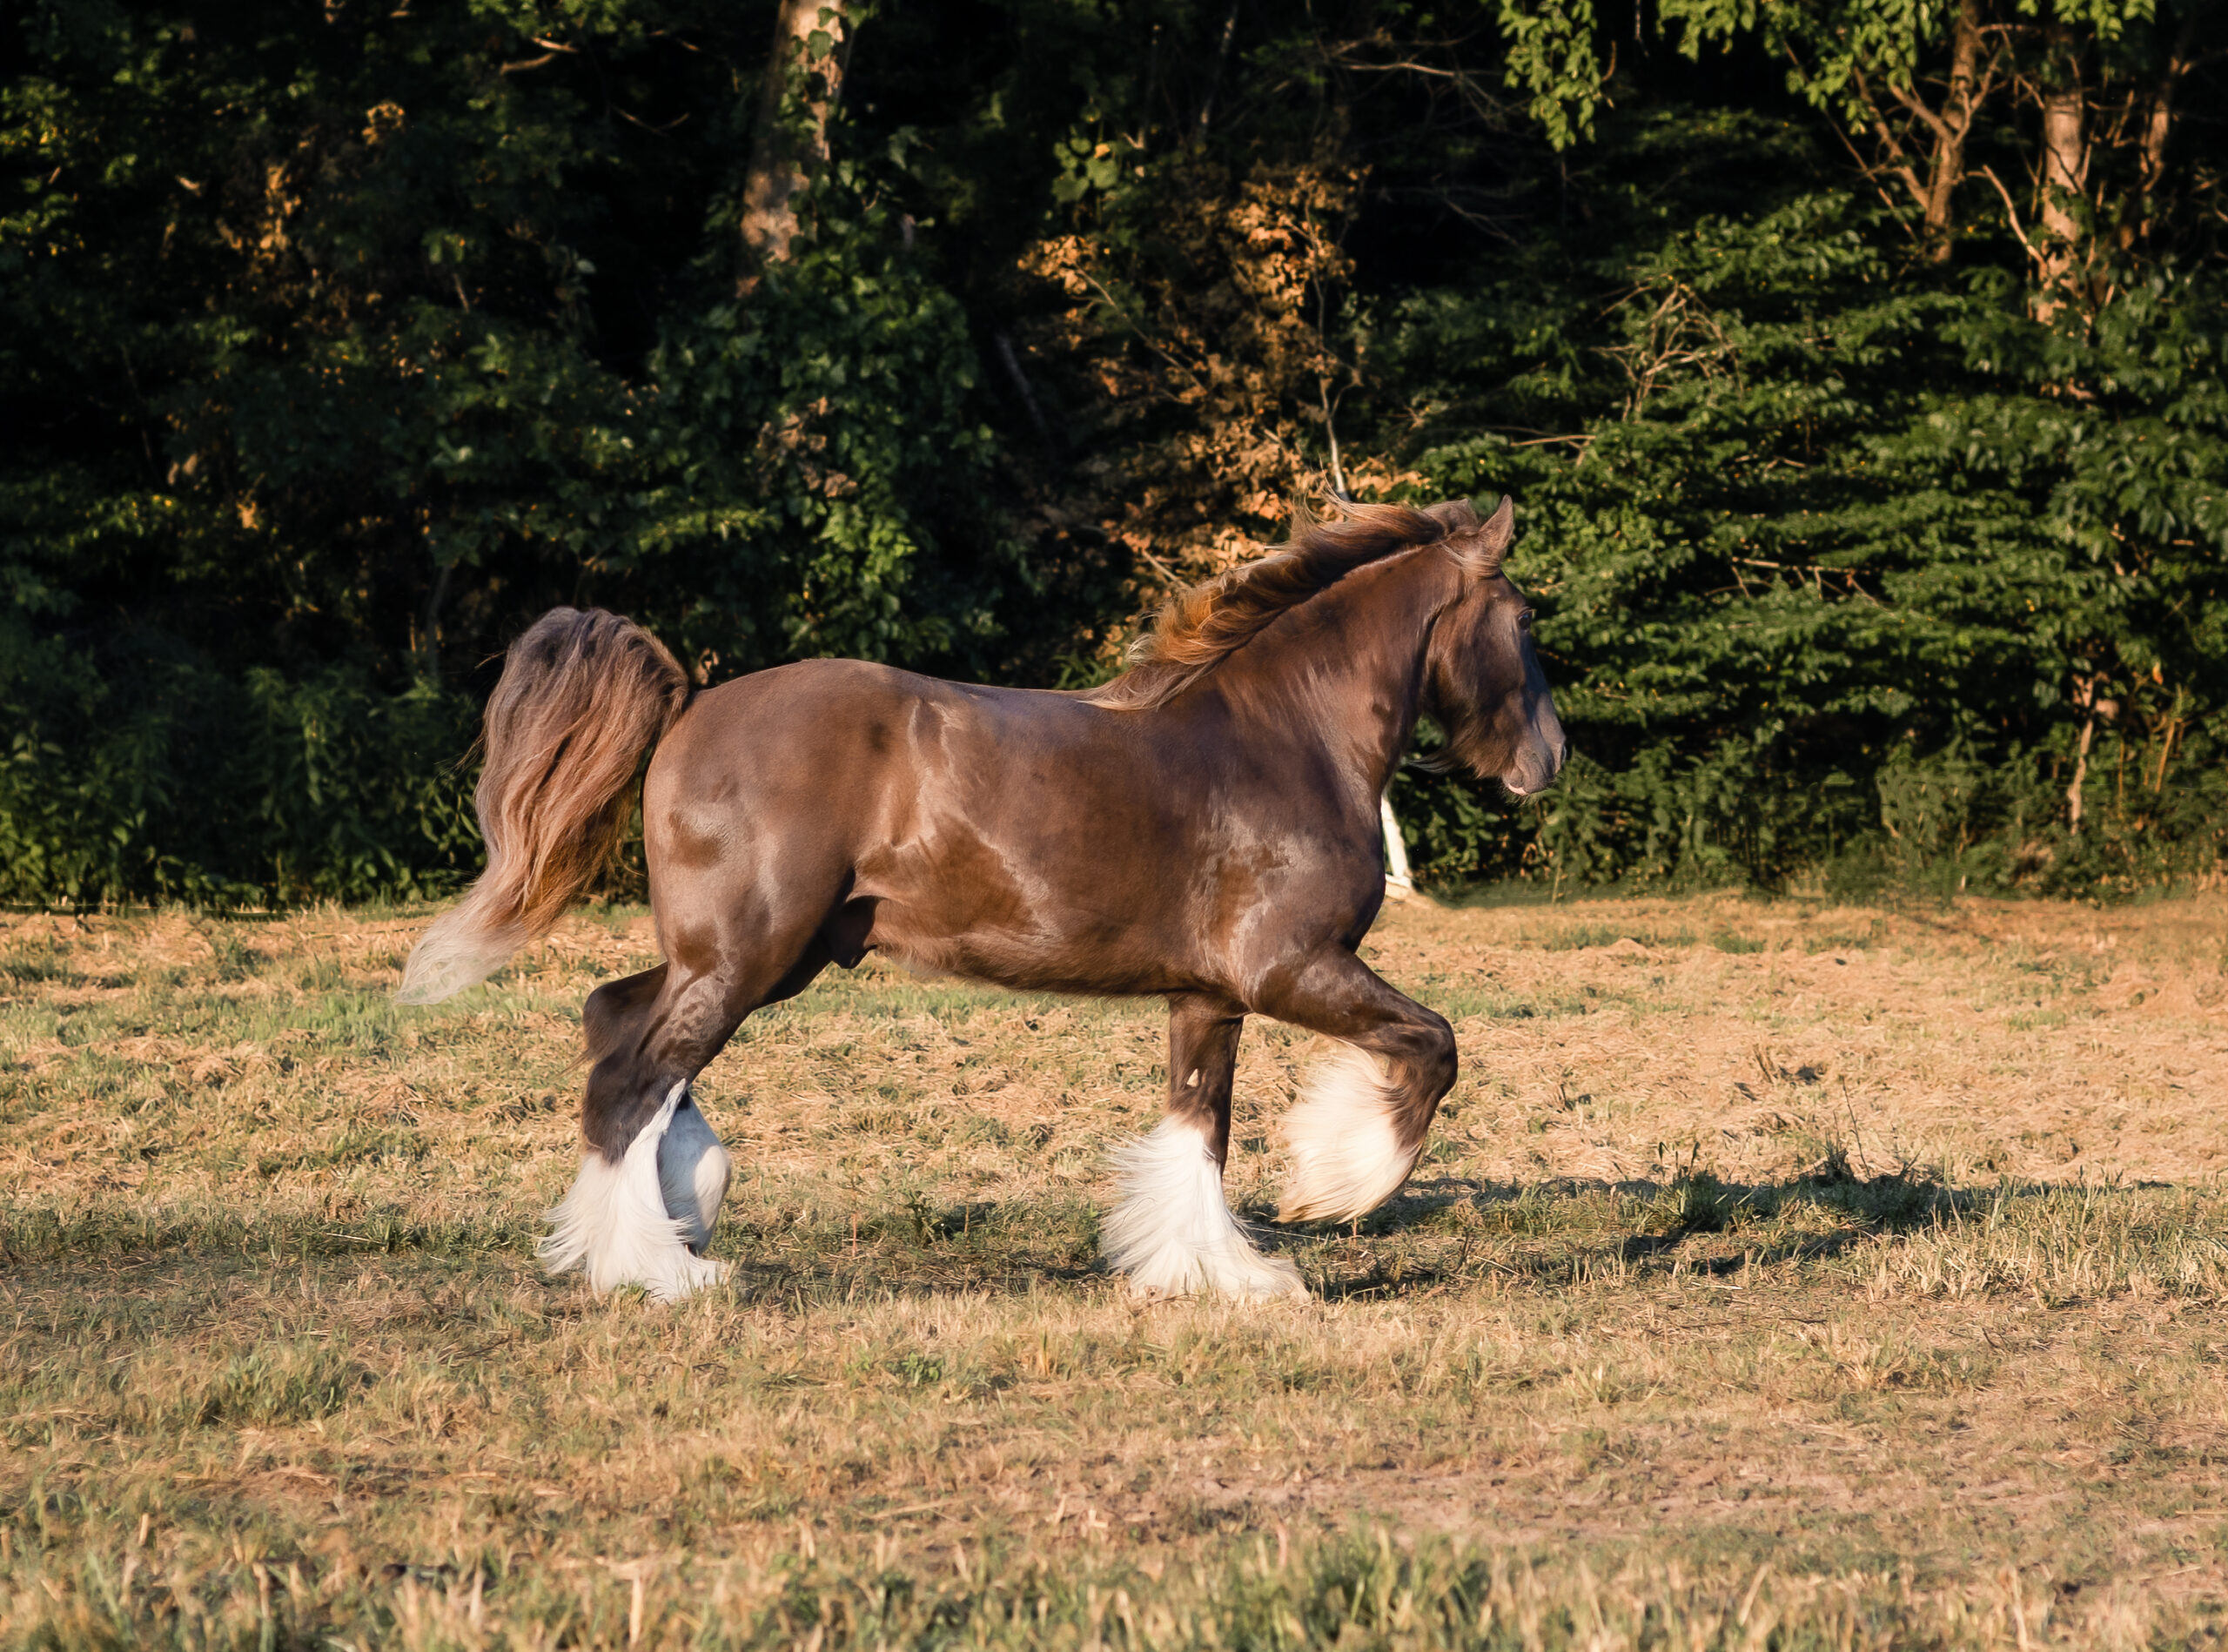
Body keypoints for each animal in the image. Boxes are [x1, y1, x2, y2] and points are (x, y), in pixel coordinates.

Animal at [396, 495, 1567, 1302]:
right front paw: (1332, 1185)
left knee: (619, 1026)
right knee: (636, 1072)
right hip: (746, 952)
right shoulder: (1293, 967)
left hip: (761, 955)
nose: (1547, 759)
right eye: (1520, 617)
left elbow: (1200, 1127)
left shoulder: (1208, 996)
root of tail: (688, 704)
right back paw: (661, 1268)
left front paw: (1214, 1273)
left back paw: (669, 1223)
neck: (1282, 737)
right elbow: (1432, 1045)